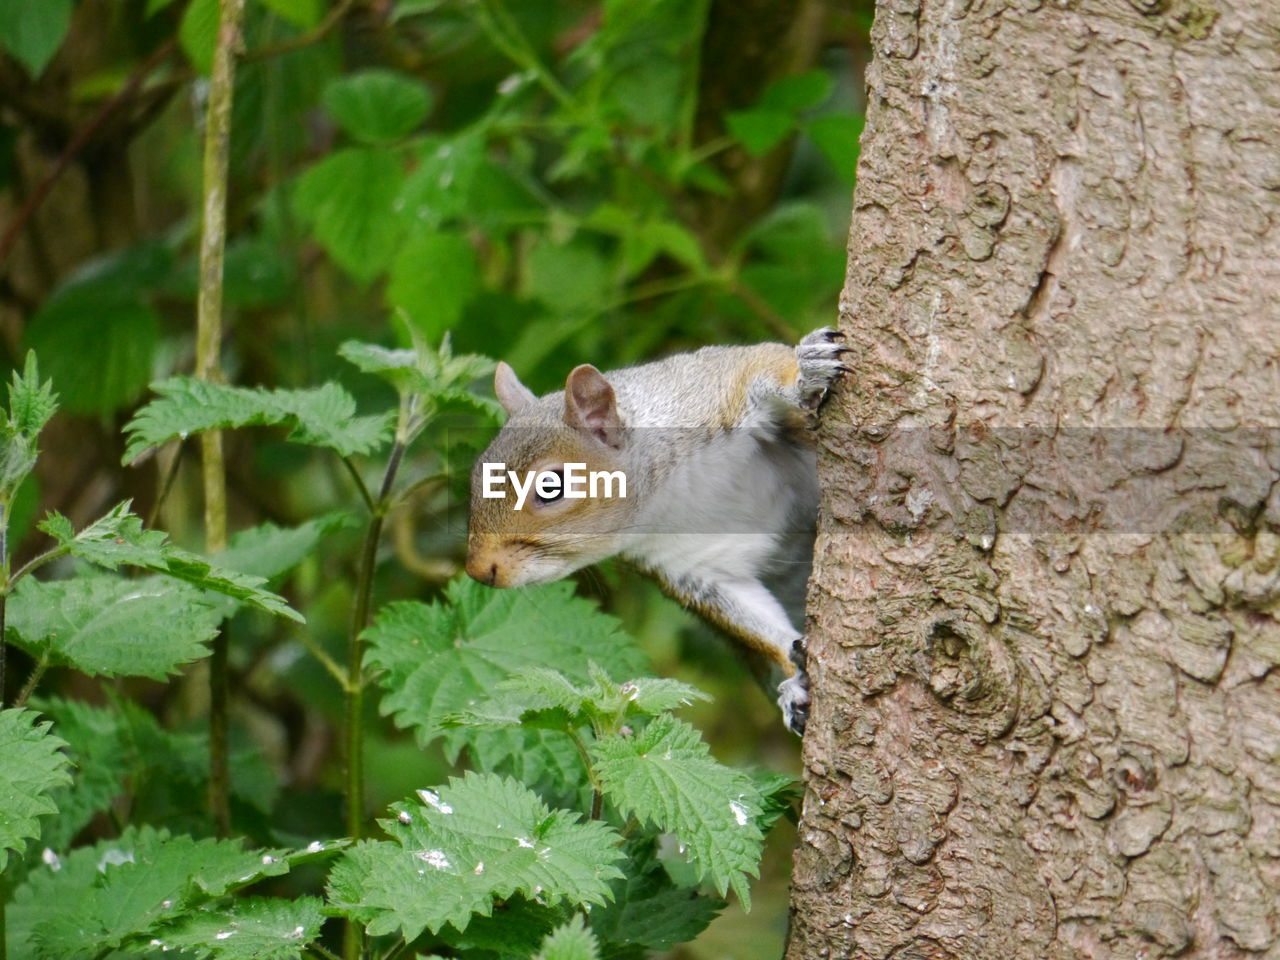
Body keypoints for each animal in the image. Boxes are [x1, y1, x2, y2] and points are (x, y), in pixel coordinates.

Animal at [465, 330, 844, 737]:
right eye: (476, 473)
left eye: (551, 486)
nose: (478, 569)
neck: (666, 498)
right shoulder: (690, 565)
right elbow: (753, 621)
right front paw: (796, 680)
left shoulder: (714, 391)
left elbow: (766, 362)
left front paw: (807, 370)